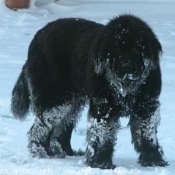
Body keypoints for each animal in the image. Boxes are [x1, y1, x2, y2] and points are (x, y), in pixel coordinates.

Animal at [11, 14, 168, 168]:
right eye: (116, 49)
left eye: (137, 48)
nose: (127, 66)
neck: (125, 87)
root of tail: (38, 37)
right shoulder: (103, 106)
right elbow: (103, 134)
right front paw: (101, 162)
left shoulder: (146, 106)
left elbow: (146, 134)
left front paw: (153, 160)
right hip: (56, 98)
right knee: (39, 128)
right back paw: (41, 152)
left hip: (72, 101)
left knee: (62, 128)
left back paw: (64, 152)